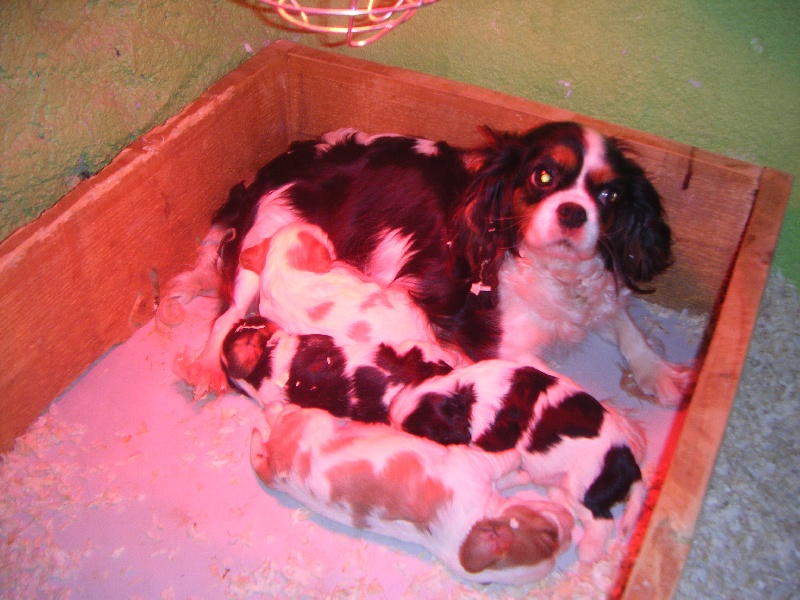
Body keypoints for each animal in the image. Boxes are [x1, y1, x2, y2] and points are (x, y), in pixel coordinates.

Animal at [250, 400, 576, 584]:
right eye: (549, 534)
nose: (572, 526)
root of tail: (273, 461)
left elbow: (506, 478)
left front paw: (520, 475)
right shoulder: (472, 463)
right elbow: (504, 460)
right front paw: (518, 457)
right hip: (314, 417)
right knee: (281, 413)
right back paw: (275, 409)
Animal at [390, 358, 648, 564]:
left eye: (420, 433)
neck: (467, 394)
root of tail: (631, 467)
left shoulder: (494, 440)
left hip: (584, 485)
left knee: (602, 521)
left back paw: (588, 551)